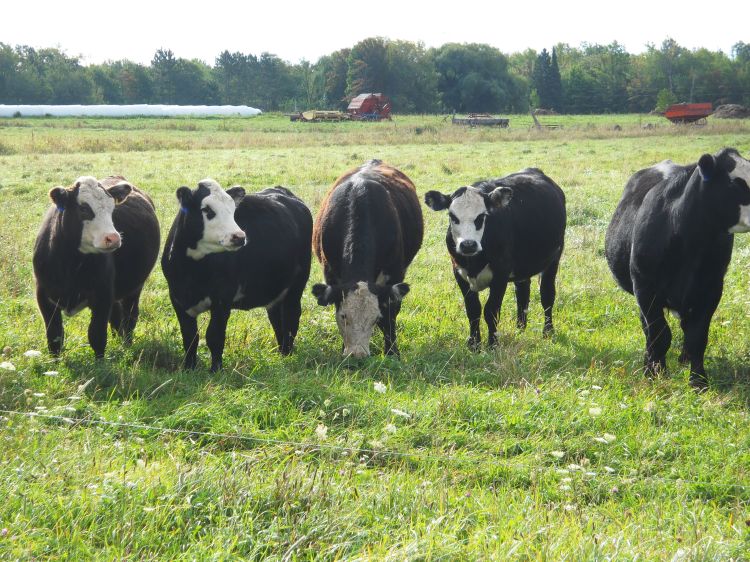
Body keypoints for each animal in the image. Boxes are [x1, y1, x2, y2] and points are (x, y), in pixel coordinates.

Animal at [33, 175, 160, 357]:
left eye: (112, 208)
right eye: (83, 208)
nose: (113, 238)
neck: (70, 264)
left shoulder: (103, 296)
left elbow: (97, 335)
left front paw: (100, 362)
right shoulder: (44, 296)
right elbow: (55, 337)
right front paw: (54, 363)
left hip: (135, 287)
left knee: (130, 316)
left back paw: (126, 346)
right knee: (117, 316)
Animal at [162, 179, 312, 371]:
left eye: (233, 210)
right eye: (207, 210)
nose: (239, 236)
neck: (191, 271)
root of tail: (282, 191)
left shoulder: (223, 298)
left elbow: (214, 336)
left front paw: (216, 370)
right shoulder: (177, 298)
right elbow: (189, 337)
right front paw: (189, 368)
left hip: (297, 285)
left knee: (291, 317)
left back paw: (287, 355)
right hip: (275, 289)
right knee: (277, 320)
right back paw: (282, 353)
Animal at [312, 160, 423, 358]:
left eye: (375, 318)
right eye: (344, 316)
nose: (357, 355)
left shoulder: (394, 274)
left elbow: (390, 315)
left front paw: (392, 352)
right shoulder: (330, 274)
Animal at [424, 168, 566, 349]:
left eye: (481, 216)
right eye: (452, 216)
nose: (468, 245)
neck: (474, 262)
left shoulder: (500, 274)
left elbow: (491, 311)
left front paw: (493, 344)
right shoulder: (459, 272)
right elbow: (473, 310)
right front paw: (474, 344)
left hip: (554, 258)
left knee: (547, 295)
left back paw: (547, 332)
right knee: (522, 292)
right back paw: (520, 328)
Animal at [605, 148, 750, 389]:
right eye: (736, 183)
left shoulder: (711, 289)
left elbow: (697, 337)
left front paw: (698, 381)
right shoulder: (645, 288)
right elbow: (659, 335)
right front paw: (654, 373)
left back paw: (684, 359)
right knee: (649, 328)